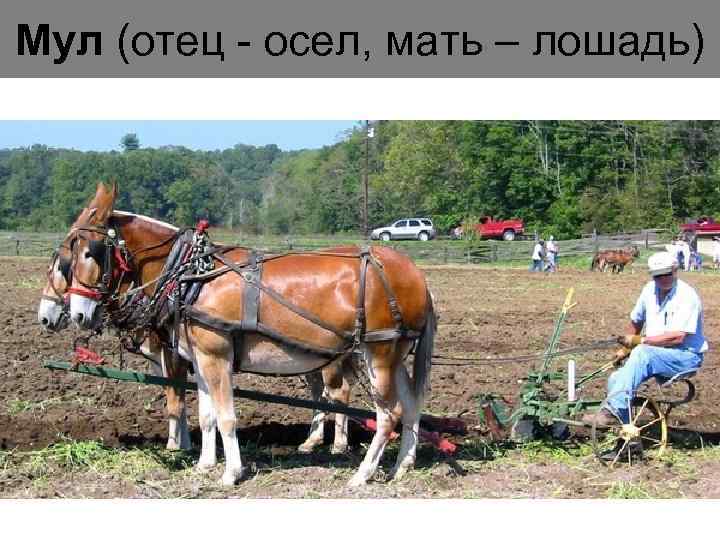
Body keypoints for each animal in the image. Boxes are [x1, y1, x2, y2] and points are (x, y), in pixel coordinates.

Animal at [38, 206, 355, 456]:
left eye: (65, 268)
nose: (45, 318)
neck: (176, 280)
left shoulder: (173, 355)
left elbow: (175, 400)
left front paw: (177, 446)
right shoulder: (169, 356)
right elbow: (180, 398)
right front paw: (186, 442)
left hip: (331, 356)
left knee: (338, 391)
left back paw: (338, 444)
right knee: (319, 391)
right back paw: (312, 441)